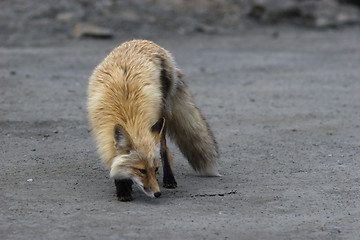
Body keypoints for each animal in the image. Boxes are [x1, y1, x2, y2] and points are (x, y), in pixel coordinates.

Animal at [87, 39, 218, 201]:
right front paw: (123, 187)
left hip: (162, 114)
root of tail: (145, 41)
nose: (157, 193)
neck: (127, 114)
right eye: (142, 171)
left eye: (155, 169)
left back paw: (169, 179)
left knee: (164, 150)